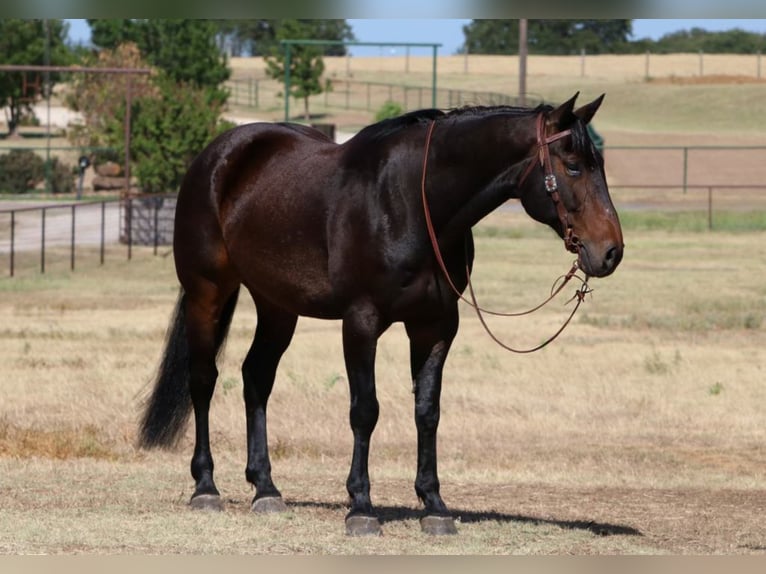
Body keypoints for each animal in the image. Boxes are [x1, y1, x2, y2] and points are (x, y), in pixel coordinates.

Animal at [138, 92, 624, 536]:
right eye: (573, 166)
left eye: (599, 163)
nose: (611, 252)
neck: (412, 202)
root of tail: (218, 155)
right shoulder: (361, 321)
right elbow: (364, 410)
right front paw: (361, 507)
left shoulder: (435, 327)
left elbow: (427, 411)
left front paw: (434, 506)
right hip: (207, 292)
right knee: (203, 380)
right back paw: (206, 487)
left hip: (277, 306)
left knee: (256, 377)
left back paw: (266, 490)